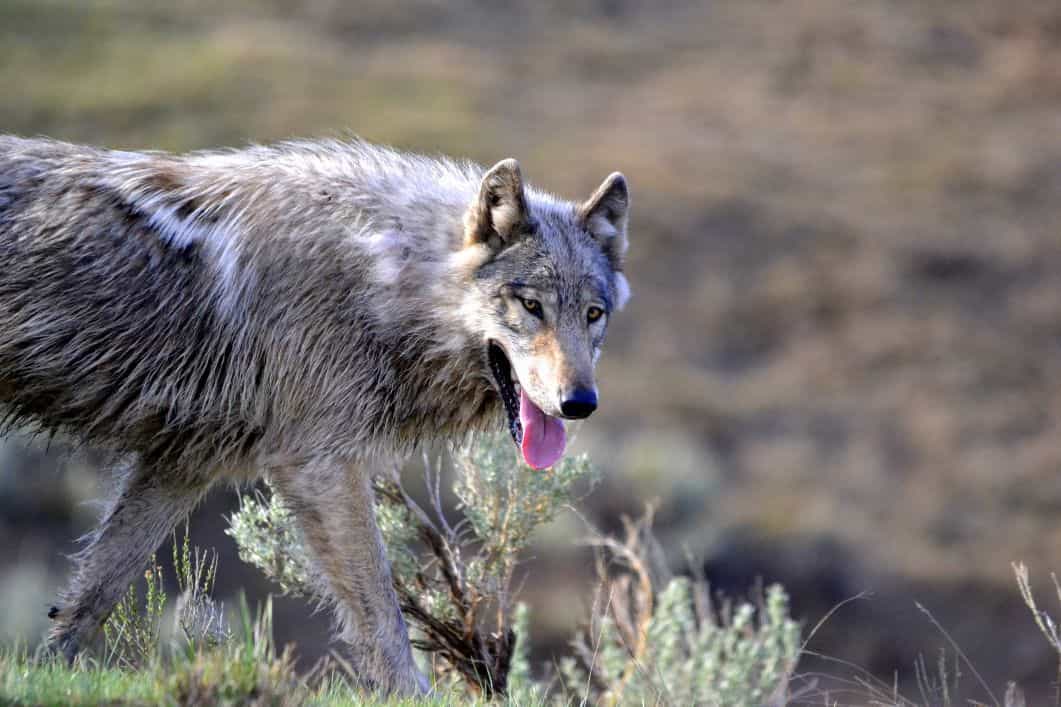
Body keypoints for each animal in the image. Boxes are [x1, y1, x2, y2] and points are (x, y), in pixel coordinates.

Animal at [0, 134, 628, 692]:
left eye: (593, 314)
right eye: (531, 306)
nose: (580, 404)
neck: (383, 277)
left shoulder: (182, 465)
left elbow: (90, 598)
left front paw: (45, 675)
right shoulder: (322, 469)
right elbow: (382, 616)